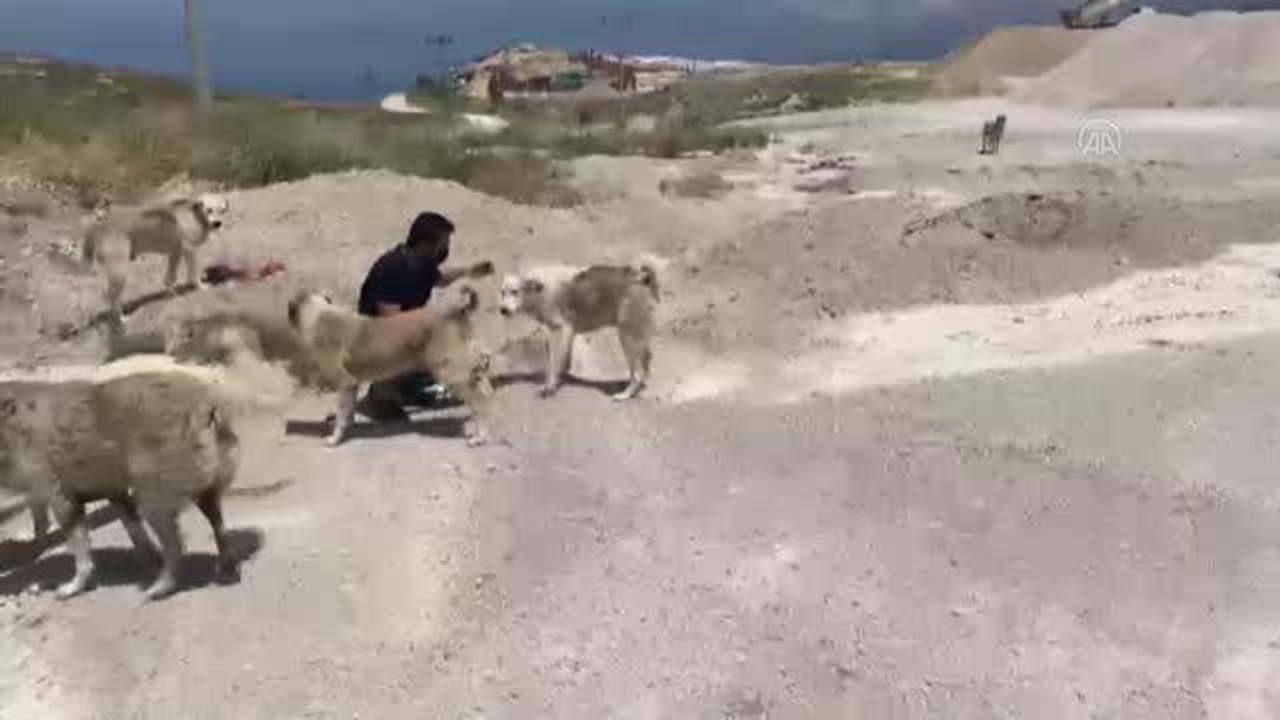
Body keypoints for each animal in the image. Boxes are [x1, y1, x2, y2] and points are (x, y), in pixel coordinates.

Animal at [0, 351, 290, 597]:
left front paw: (73, 586)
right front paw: (148, 558)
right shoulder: (113, 491)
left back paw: (160, 588)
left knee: (176, 545)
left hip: (155, 495)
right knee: (218, 525)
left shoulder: (58, 493)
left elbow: (79, 545)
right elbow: (133, 529)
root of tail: (210, 403)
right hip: (205, 485)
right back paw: (226, 570)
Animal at [81, 192, 232, 324]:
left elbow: (170, 278)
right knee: (112, 296)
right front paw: (200, 286)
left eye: (223, 210)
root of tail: (100, 227)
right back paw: (121, 318)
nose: (217, 223)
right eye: (209, 210)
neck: (195, 215)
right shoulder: (189, 250)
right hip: (120, 271)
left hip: (110, 270)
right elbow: (193, 273)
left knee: (105, 293)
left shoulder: (175, 252)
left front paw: (172, 294)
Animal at [289, 283, 494, 445]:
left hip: (450, 373)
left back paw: (480, 436)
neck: (320, 314)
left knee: (480, 401)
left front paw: (335, 438)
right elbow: (348, 411)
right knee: (486, 390)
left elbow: (341, 414)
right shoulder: (353, 385)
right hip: (467, 368)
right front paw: (350, 425)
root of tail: (457, 311)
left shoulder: (345, 383)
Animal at [499, 262, 660, 399]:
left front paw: (550, 386)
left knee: (638, 373)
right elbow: (561, 361)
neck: (539, 289)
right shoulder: (567, 333)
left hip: (627, 339)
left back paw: (625, 395)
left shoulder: (562, 330)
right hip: (635, 338)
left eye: (515, 292)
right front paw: (559, 380)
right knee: (646, 362)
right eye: (502, 292)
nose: (503, 310)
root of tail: (641, 276)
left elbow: (554, 362)